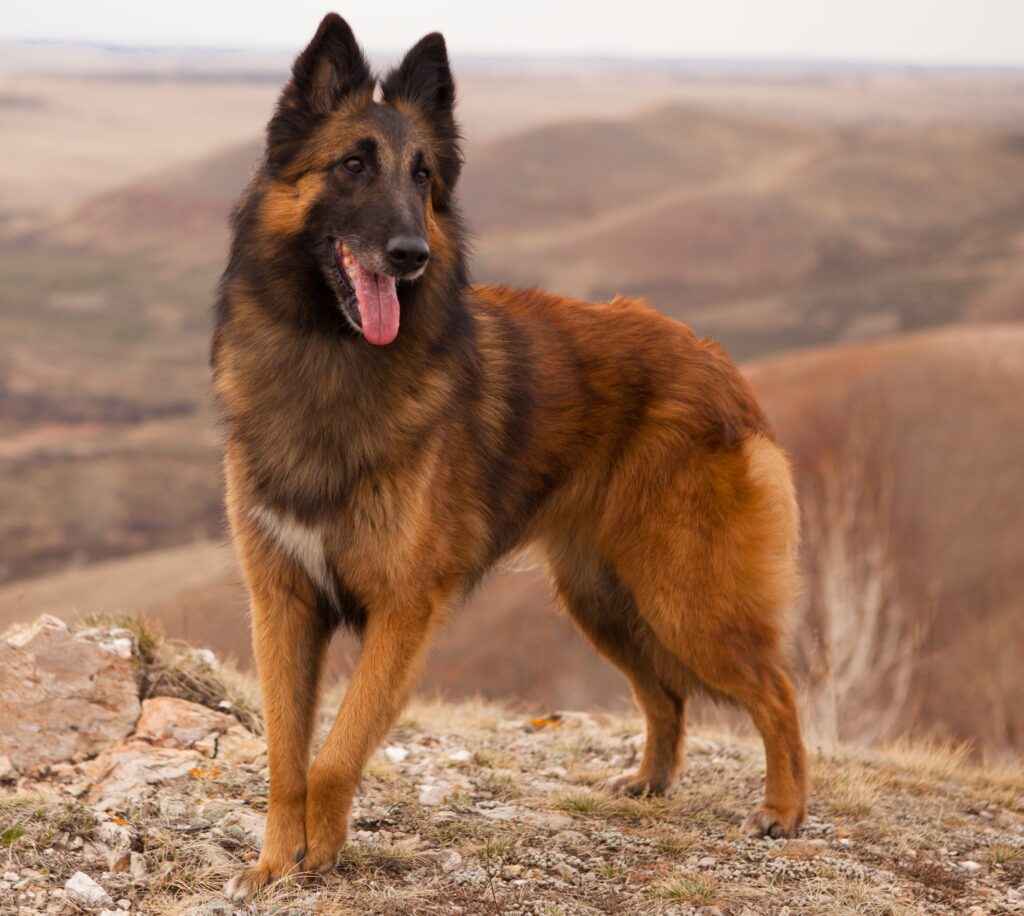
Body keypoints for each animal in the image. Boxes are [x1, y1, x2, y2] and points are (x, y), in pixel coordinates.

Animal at [214, 12, 806, 900]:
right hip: (603, 597)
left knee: (777, 690)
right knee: (667, 694)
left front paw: (321, 854)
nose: (411, 254)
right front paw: (276, 863)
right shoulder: (282, 599)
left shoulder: (403, 609)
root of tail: (719, 363)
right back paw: (651, 780)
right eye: (352, 164)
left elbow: (336, 753)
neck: (330, 357)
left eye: (424, 175)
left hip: (685, 595)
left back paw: (784, 810)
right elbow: (286, 754)